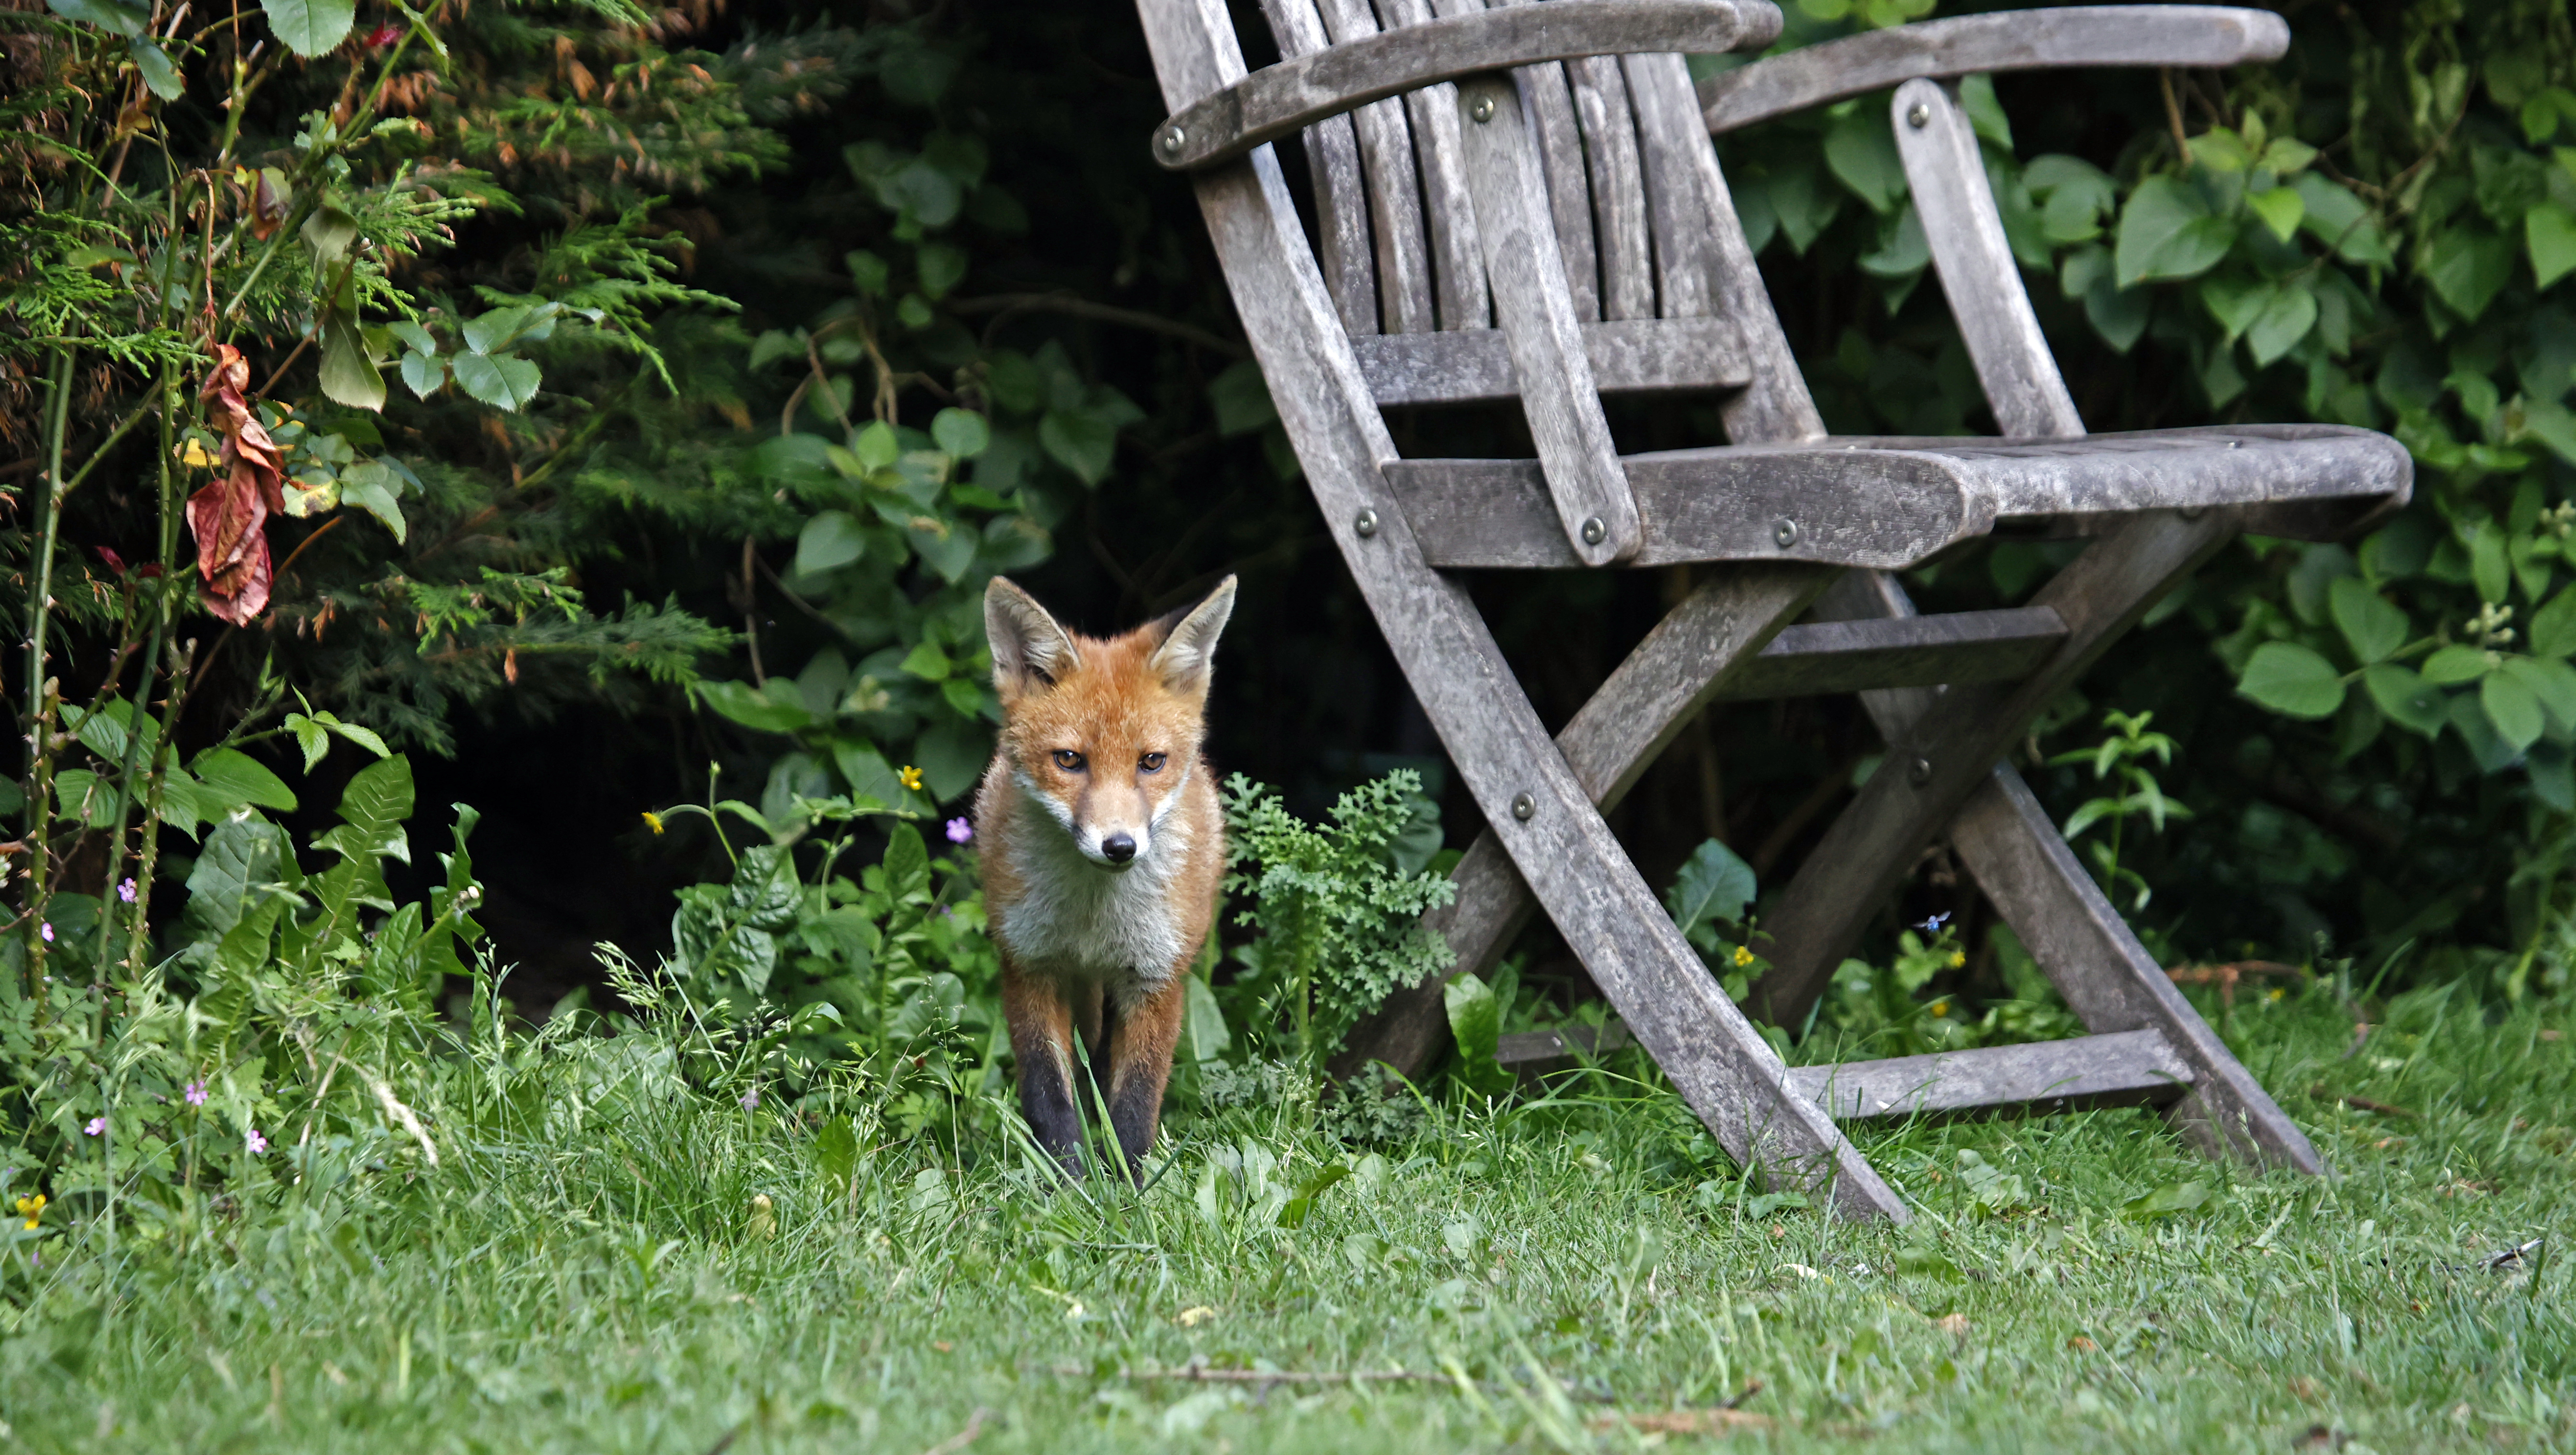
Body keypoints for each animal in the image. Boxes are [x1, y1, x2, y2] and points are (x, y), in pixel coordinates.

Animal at [974, 569, 1236, 1179]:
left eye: (1152, 762)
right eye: (1069, 760)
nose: (1119, 847)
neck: (1094, 916)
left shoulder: (1157, 979)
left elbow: (1136, 1102)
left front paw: (1129, 1185)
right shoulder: (1030, 966)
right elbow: (1049, 1092)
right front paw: (1067, 1182)